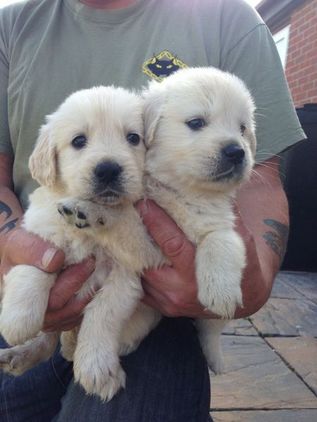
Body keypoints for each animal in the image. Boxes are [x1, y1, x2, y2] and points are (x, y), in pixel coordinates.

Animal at [0, 85, 163, 398]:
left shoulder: (126, 276)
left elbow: (103, 312)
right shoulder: (40, 231)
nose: (108, 169)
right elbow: (35, 269)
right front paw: (17, 321)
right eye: (78, 141)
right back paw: (19, 354)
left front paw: (97, 369)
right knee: (47, 339)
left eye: (133, 138)